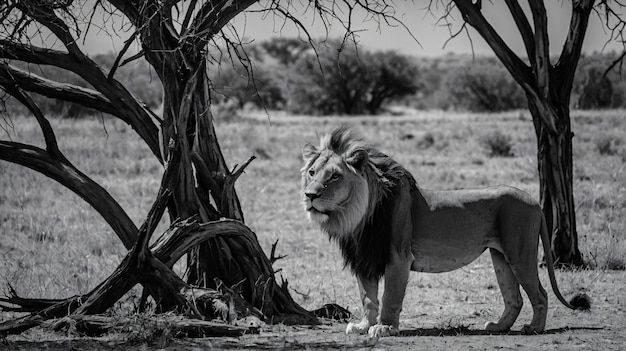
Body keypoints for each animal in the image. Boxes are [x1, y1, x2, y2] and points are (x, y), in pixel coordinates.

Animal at [300, 126, 588, 338]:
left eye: (334, 176)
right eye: (312, 172)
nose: (309, 195)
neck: (356, 216)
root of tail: (534, 200)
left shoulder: (397, 257)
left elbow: (390, 295)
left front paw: (385, 327)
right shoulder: (365, 257)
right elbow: (367, 297)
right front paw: (363, 326)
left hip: (520, 252)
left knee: (539, 293)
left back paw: (534, 328)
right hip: (500, 256)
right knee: (513, 297)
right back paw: (498, 327)